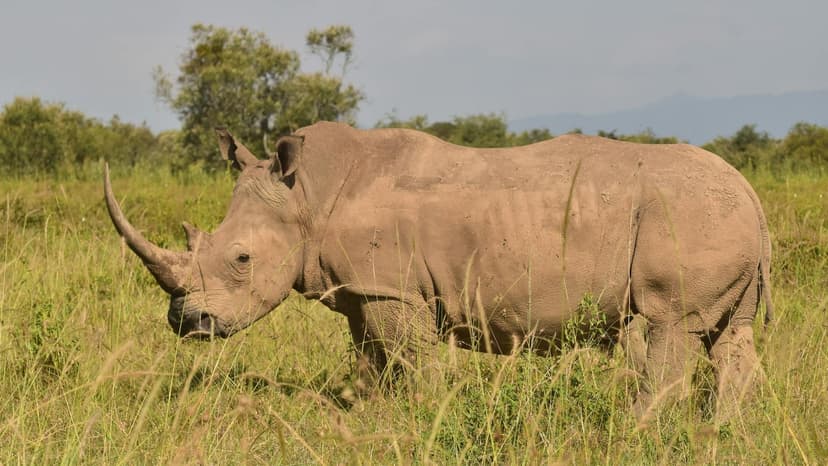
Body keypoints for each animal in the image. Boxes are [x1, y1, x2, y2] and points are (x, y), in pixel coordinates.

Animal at [104, 122, 772, 416]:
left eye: (241, 259)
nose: (187, 323)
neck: (307, 196)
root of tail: (752, 193)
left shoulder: (394, 291)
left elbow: (410, 361)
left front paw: (421, 415)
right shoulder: (368, 289)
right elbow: (370, 362)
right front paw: (365, 418)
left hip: (688, 217)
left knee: (667, 326)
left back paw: (633, 432)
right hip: (720, 218)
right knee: (729, 337)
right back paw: (721, 433)